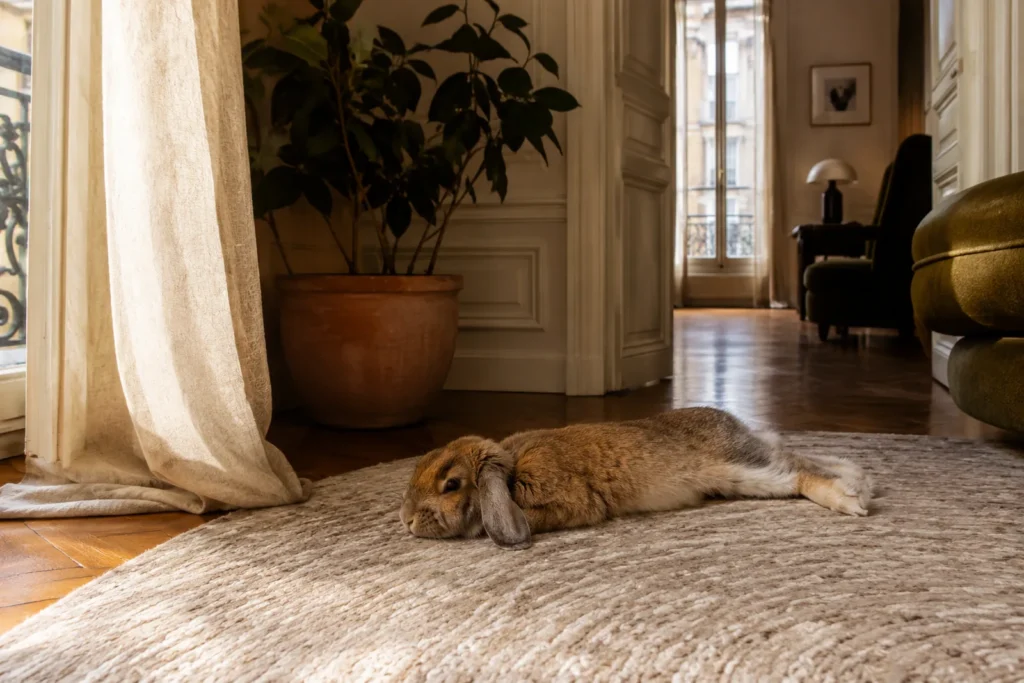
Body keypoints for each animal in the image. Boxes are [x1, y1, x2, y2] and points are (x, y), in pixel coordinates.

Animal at [399, 407, 873, 550]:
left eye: (451, 484)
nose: (405, 519)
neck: (512, 470)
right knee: (796, 459)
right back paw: (859, 480)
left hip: (738, 467)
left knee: (799, 471)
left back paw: (852, 499)